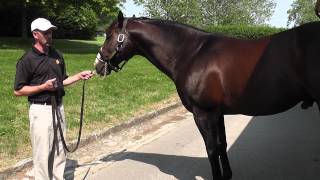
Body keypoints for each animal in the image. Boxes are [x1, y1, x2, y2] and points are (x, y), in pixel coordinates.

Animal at [94, 10, 320, 179]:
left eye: (109, 35)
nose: (97, 65)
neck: (192, 53)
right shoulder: (217, 113)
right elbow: (221, 145)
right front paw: (227, 175)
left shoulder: (202, 113)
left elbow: (211, 149)